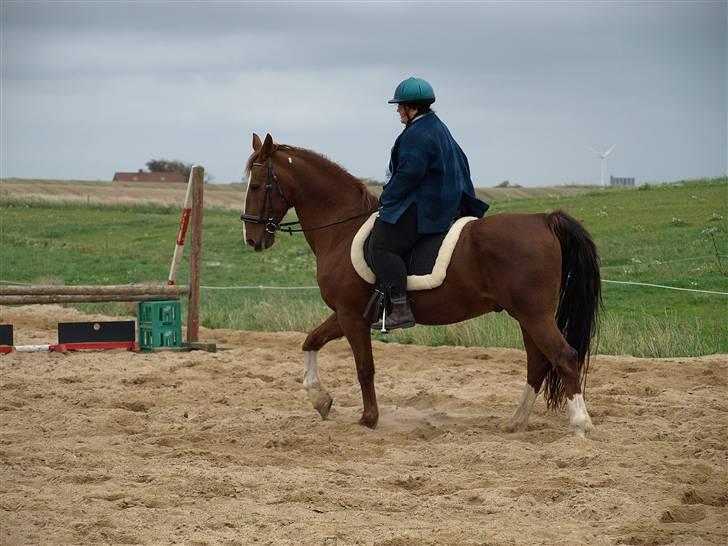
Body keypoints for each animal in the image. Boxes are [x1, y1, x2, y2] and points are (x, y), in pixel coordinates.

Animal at [242, 133, 600, 438]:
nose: (252, 240)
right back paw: (516, 421)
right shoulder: (347, 314)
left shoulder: (351, 316)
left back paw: (580, 426)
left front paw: (368, 419)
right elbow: (310, 341)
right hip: (527, 316)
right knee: (538, 362)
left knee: (563, 356)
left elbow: (364, 367)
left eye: (257, 186)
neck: (341, 230)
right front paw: (320, 399)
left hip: (534, 314)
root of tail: (543, 219)